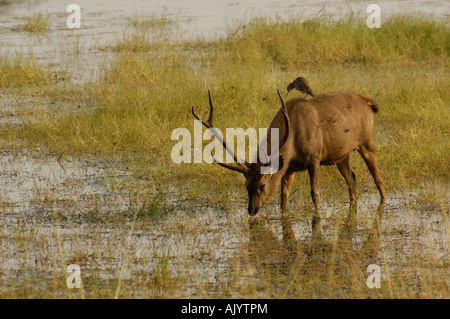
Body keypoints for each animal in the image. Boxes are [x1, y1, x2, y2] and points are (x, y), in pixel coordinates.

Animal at [192, 89, 384, 216]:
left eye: (262, 185)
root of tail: (366, 101)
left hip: (367, 140)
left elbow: (315, 193)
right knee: (352, 178)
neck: (293, 143)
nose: (252, 209)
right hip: (341, 155)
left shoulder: (315, 156)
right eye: (246, 185)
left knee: (377, 177)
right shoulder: (289, 167)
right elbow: (283, 197)